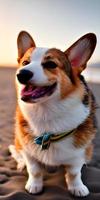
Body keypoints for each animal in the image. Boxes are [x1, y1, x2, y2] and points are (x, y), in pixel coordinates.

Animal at [9, 31, 97, 197]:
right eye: (25, 62)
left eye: (51, 64)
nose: (21, 74)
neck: (46, 112)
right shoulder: (28, 150)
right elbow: (34, 170)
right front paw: (34, 186)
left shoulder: (78, 152)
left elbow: (74, 173)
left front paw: (77, 187)